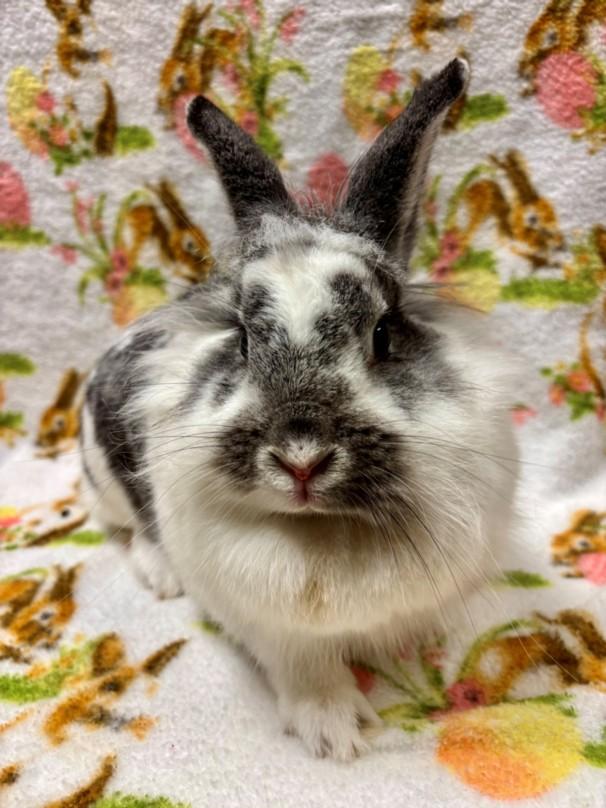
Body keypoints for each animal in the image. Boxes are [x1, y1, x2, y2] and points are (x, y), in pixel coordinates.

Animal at [81, 58, 518, 760]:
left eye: (384, 335)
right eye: (242, 340)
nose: (302, 459)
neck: (324, 531)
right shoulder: (273, 628)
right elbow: (308, 670)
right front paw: (337, 732)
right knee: (131, 528)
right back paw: (161, 574)